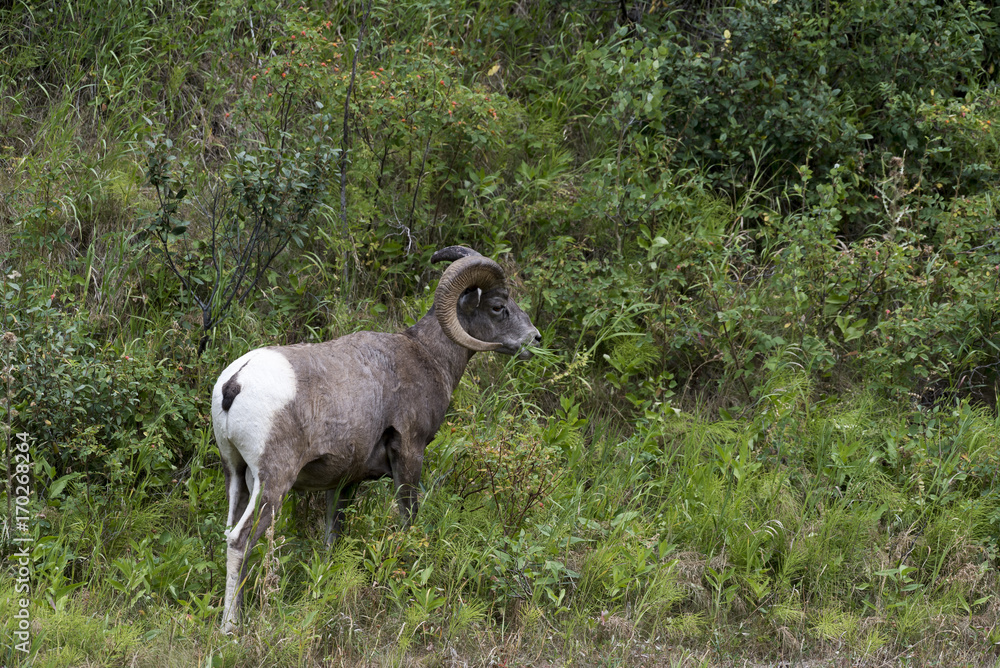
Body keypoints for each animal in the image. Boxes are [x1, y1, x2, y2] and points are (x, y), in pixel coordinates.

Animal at [211, 246, 541, 634]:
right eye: (498, 306)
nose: (535, 339)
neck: (428, 357)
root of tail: (235, 383)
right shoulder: (409, 453)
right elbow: (408, 519)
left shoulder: (342, 483)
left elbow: (332, 538)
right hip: (272, 484)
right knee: (240, 541)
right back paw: (231, 629)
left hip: (236, 476)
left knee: (229, 534)